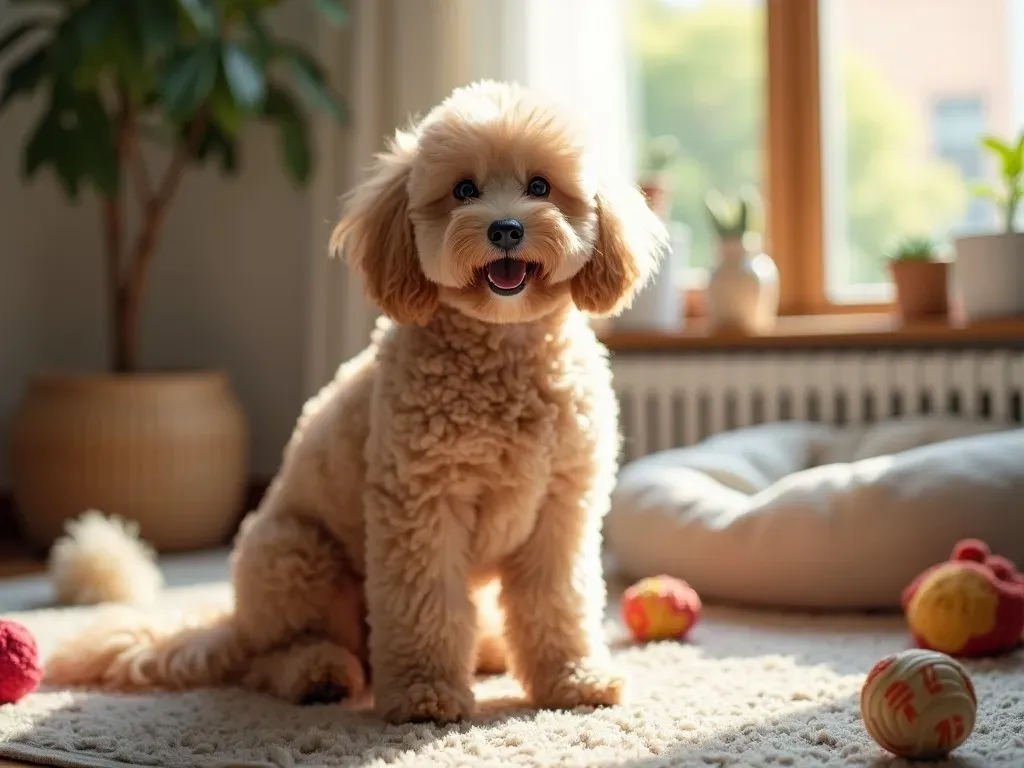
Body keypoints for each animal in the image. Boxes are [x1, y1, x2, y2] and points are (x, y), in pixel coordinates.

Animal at [46, 81, 671, 724]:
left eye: (540, 187)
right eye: (464, 190)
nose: (504, 229)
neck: (504, 353)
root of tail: (234, 622)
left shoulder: (560, 513)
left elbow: (556, 605)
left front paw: (573, 681)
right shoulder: (422, 508)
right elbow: (425, 607)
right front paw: (425, 695)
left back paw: (488, 651)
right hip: (295, 555)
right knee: (275, 657)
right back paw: (319, 675)